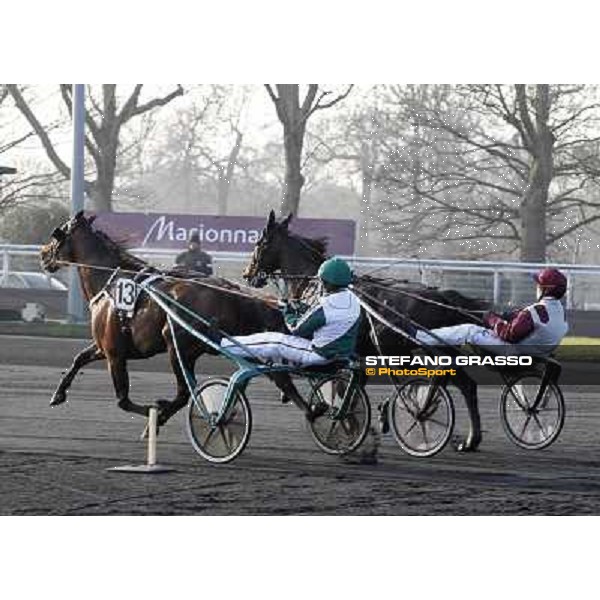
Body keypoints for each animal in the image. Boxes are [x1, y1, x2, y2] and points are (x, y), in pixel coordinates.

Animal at [41, 211, 304, 426]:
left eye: (57, 234)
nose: (43, 254)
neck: (110, 282)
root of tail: (231, 293)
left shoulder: (114, 353)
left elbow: (123, 400)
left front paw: (153, 411)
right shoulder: (104, 346)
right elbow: (79, 358)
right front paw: (58, 394)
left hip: (177, 346)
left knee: (185, 392)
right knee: (273, 377)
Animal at [241, 210, 490, 450]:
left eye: (259, 243)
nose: (247, 274)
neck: (314, 284)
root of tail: (442, 296)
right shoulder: (357, 353)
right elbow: (352, 384)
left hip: (399, 348)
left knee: (435, 377)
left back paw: (419, 412)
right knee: (463, 383)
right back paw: (468, 437)